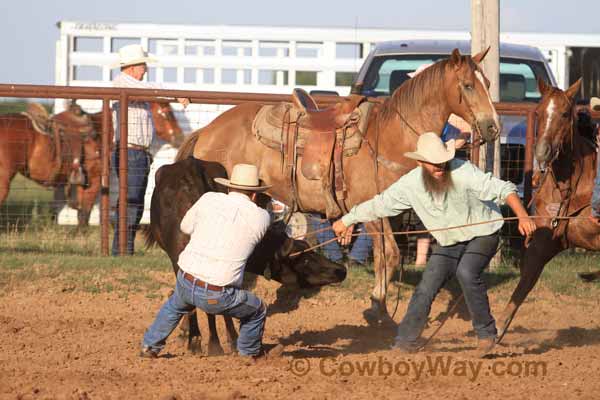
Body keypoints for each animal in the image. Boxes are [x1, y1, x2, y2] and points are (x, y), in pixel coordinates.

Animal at [175, 49, 502, 324]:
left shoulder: (388, 211)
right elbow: (388, 255)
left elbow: (390, 255)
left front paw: (380, 308)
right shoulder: (371, 211)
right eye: (468, 85)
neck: (390, 137)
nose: (493, 127)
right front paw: (377, 309)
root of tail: (207, 130)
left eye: (487, 82)